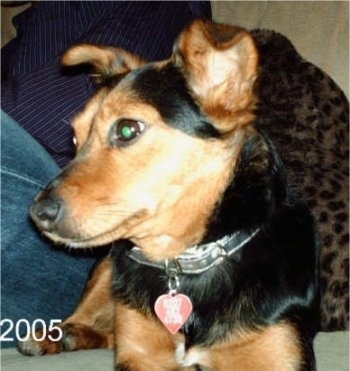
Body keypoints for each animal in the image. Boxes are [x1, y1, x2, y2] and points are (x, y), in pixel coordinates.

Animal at [19, 21, 320, 371]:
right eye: (74, 139)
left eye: (127, 129)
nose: (37, 213)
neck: (183, 261)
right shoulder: (140, 356)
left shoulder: (278, 356)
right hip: (107, 266)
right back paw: (59, 334)